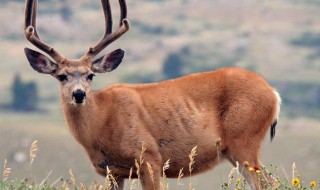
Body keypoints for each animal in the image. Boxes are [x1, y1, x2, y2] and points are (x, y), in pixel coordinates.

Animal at [23, 0, 282, 190]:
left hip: (244, 140)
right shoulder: (112, 171)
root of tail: (273, 93)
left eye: (90, 75)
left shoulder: (149, 157)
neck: (102, 123)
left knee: (267, 183)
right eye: (61, 76)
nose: (78, 94)